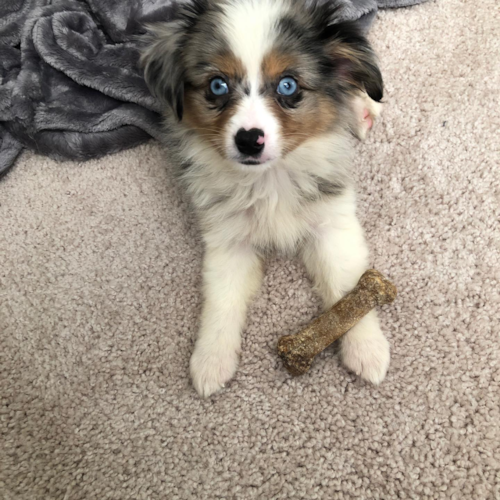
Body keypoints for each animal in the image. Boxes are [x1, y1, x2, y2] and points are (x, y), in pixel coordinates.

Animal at [143, 0, 388, 398]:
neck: (269, 178)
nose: (248, 140)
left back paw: (361, 108)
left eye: (288, 85)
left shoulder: (332, 222)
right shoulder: (227, 241)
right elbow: (222, 300)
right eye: (217, 85)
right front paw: (210, 361)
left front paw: (367, 349)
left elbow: (346, 286)